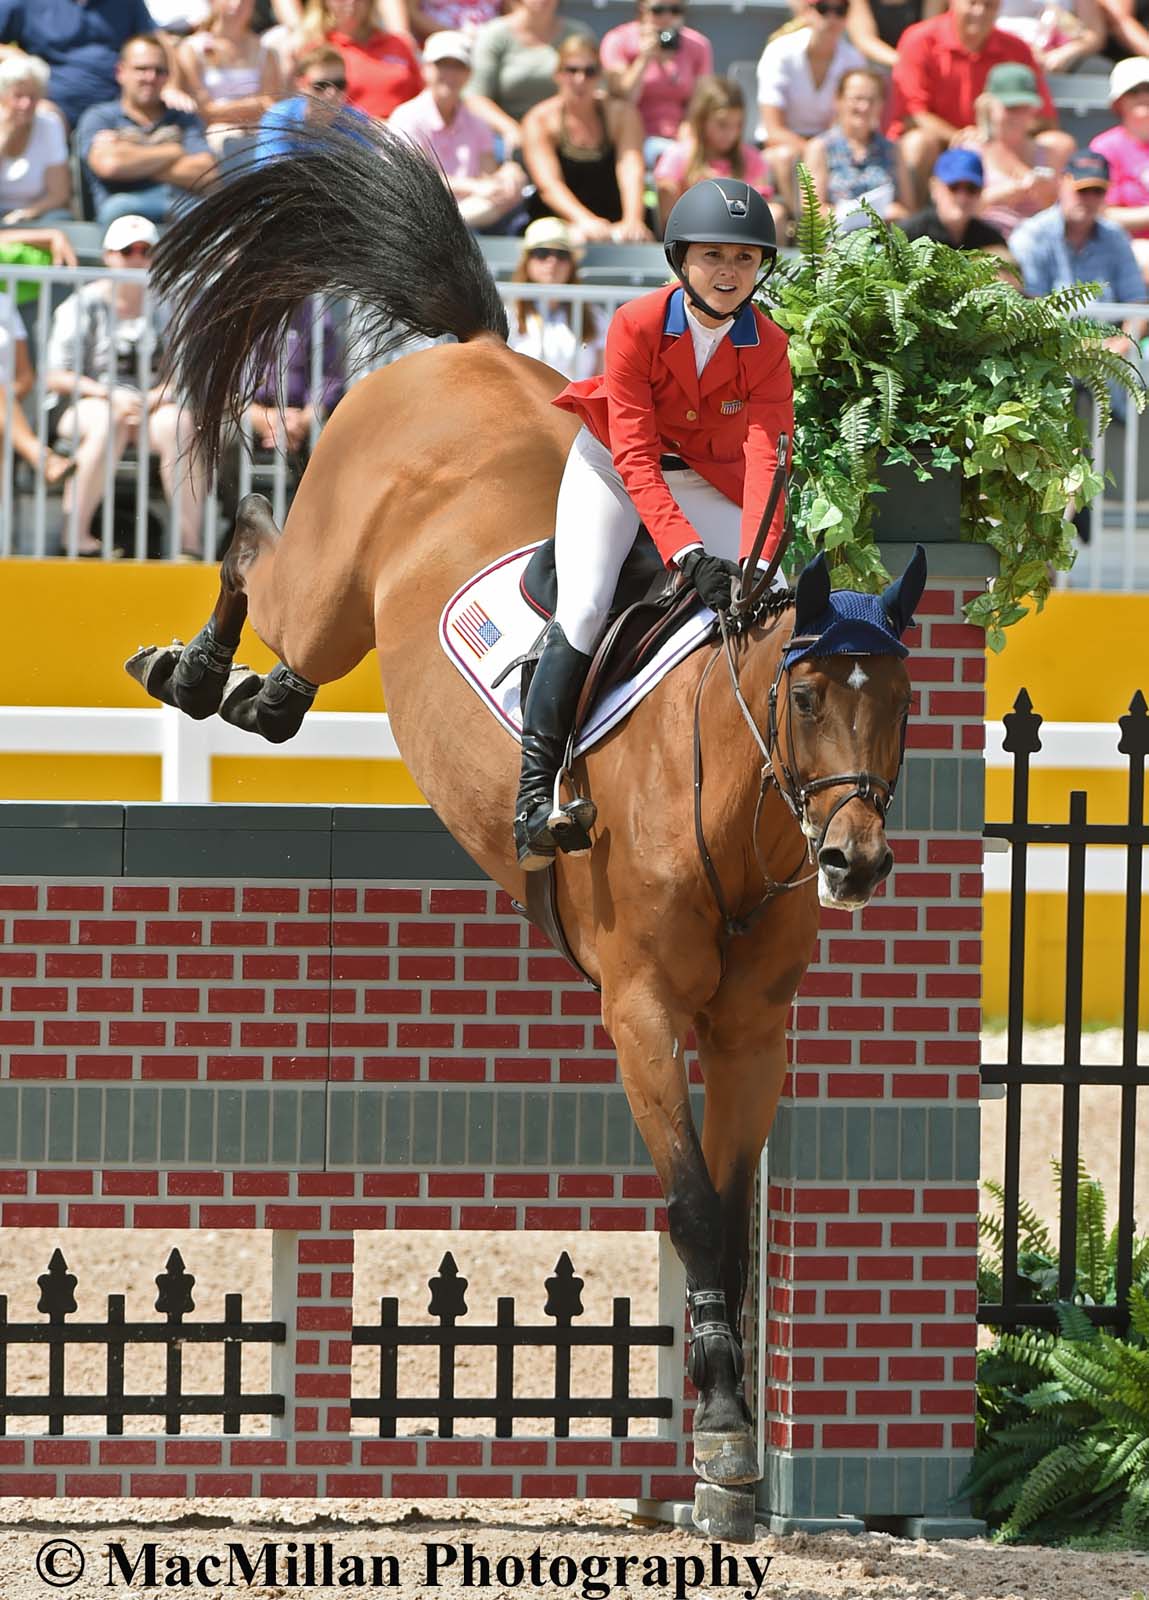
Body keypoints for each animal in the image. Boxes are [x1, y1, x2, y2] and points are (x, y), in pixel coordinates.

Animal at [130, 121, 928, 1536]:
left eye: (898, 705)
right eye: (805, 694)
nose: (854, 860)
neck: (731, 807)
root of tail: (465, 350)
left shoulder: (752, 1029)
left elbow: (730, 1213)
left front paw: (725, 1436)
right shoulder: (644, 1010)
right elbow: (696, 1209)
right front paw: (726, 1449)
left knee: (282, 642)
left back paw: (258, 695)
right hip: (335, 576)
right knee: (252, 546)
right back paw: (197, 665)